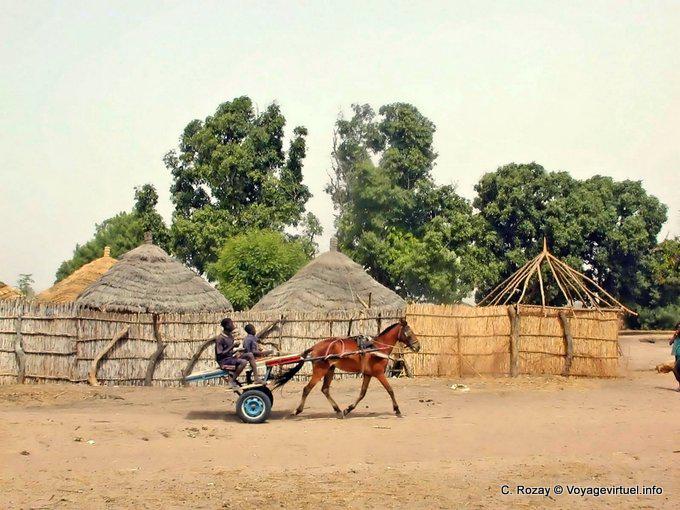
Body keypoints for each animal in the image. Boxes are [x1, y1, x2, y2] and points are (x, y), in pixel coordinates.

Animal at [272, 318, 421, 417]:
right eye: (409, 332)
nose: (418, 347)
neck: (377, 348)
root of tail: (315, 346)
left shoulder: (368, 374)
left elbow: (362, 393)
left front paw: (348, 409)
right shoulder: (379, 373)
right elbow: (390, 390)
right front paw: (397, 410)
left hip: (330, 370)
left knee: (325, 389)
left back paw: (338, 410)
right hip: (320, 370)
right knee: (307, 389)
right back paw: (298, 410)